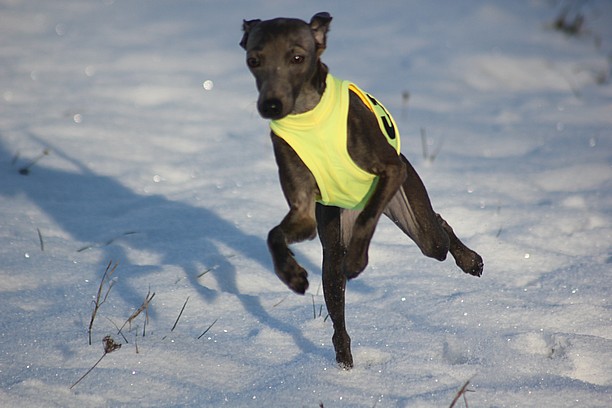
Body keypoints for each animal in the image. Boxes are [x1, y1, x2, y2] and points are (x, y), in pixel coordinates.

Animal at [239, 11, 482, 370]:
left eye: (297, 57)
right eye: (254, 60)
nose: (271, 105)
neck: (308, 115)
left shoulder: (392, 171)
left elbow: (369, 218)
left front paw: (357, 259)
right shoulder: (304, 215)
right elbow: (274, 234)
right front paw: (291, 273)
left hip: (415, 211)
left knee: (438, 232)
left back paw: (469, 259)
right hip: (331, 249)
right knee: (338, 316)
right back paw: (344, 365)